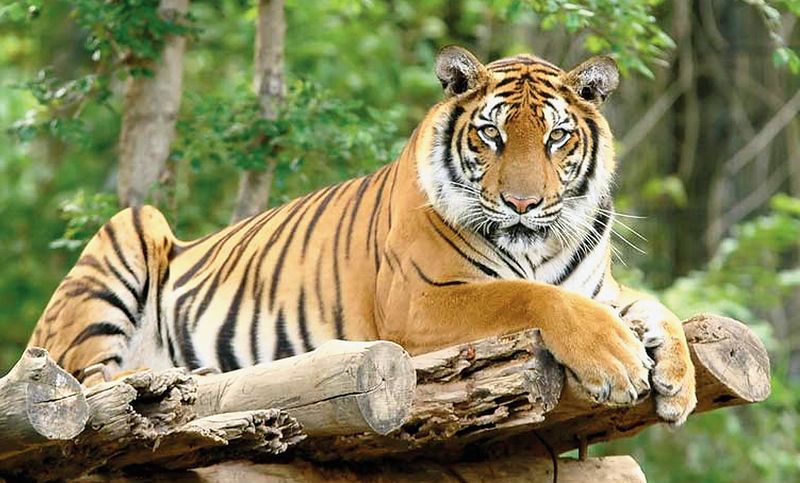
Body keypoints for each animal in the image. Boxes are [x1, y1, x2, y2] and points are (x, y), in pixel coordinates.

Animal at [28, 46, 696, 424]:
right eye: (492, 135)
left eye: (557, 137)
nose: (523, 203)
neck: (539, 245)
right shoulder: (419, 302)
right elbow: (529, 295)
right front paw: (618, 362)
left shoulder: (601, 290)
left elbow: (657, 308)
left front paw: (679, 381)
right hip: (129, 233)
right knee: (87, 379)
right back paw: (176, 378)